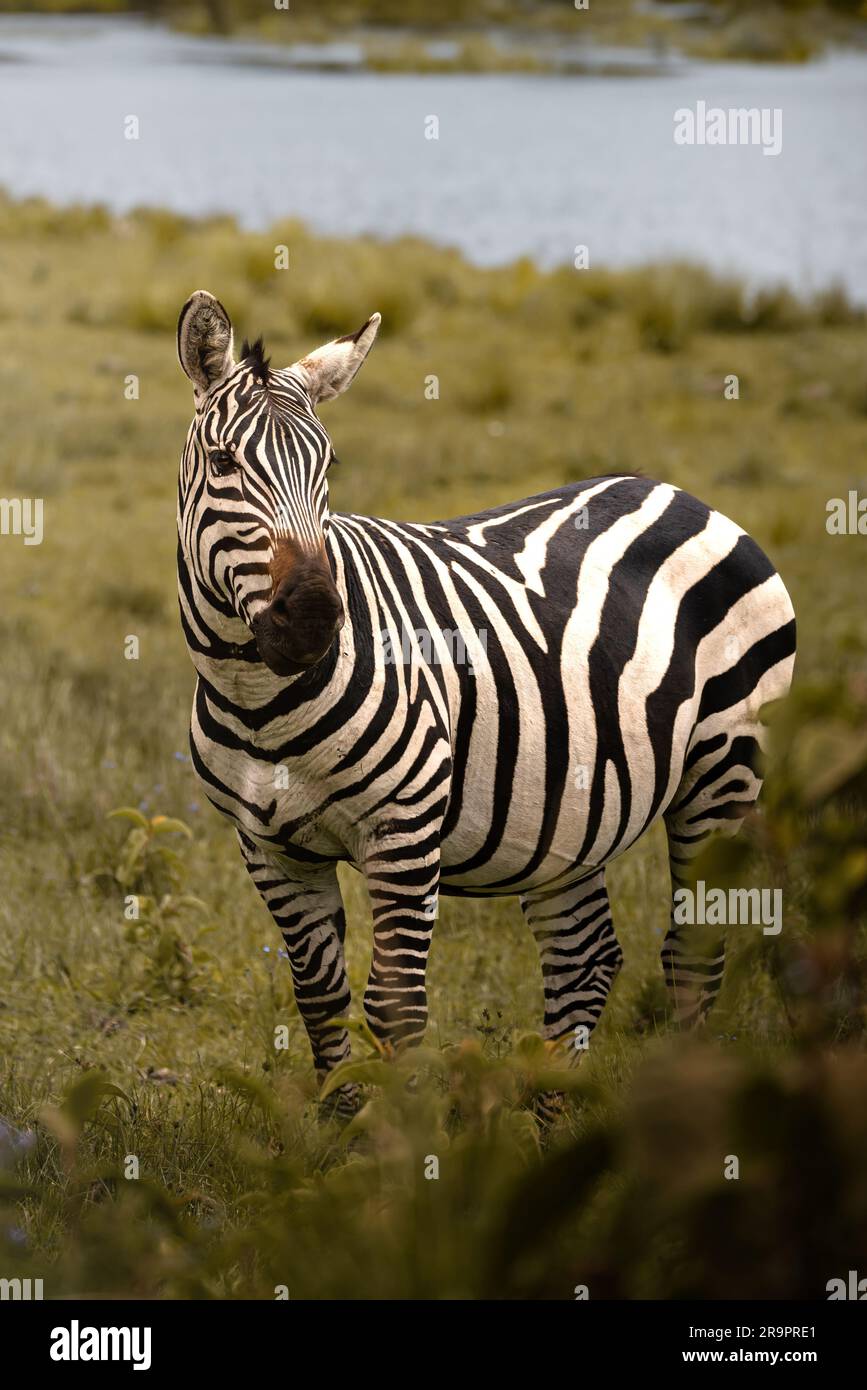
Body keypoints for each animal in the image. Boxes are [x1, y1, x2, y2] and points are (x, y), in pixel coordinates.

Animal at [176, 287, 800, 1112]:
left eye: (328, 465)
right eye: (223, 463)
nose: (312, 617)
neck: (259, 702)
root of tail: (679, 493)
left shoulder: (404, 827)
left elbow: (395, 1008)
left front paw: (399, 1146)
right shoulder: (269, 848)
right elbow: (320, 1001)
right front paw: (338, 1136)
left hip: (723, 770)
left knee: (692, 950)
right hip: (574, 808)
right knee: (584, 956)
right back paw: (553, 1122)